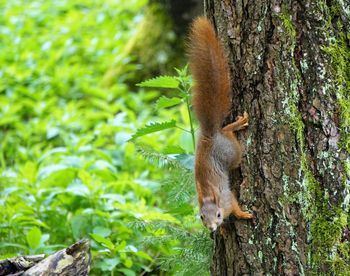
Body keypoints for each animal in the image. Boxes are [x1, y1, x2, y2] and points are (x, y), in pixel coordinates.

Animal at [187, 17, 253, 232]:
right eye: (201, 217)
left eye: (217, 214)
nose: (212, 229)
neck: (211, 198)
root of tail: (211, 135)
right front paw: (224, 230)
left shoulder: (227, 198)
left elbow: (234, 205)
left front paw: (242, 214)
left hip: (232, 153)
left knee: (229, 135)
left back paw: (237, 125)